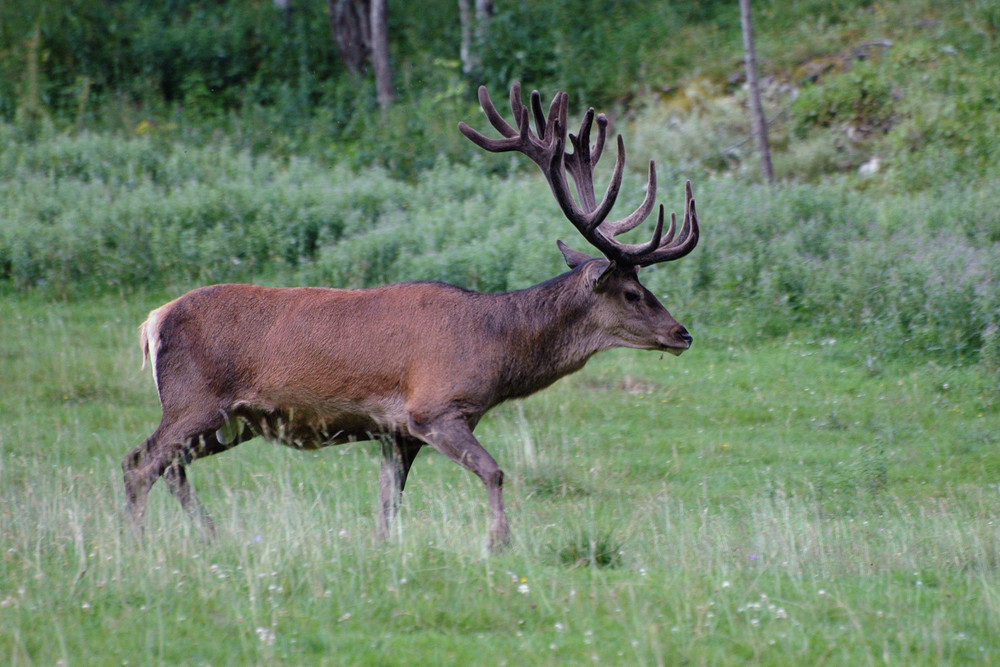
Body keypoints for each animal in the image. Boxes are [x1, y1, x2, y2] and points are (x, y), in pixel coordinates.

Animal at [125, 83, 700, 552]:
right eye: (632, 292)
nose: (683, 333)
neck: (496, 348)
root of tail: (153, 322)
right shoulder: (434, 407)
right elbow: (494, 472)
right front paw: (499, 543)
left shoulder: (394, 432)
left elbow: (388, 503)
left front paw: (384, 550)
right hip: (195, 399)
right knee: (140, 462)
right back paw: (139, 544)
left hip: (231, 421)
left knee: (170, 467)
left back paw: (207, 535)